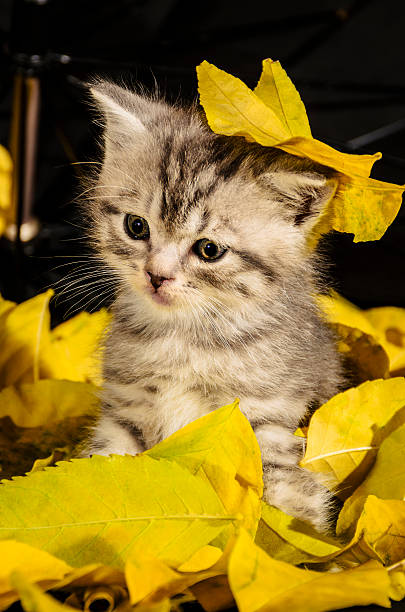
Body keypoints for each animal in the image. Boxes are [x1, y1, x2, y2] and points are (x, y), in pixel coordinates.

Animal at [80, 80, 342, 532]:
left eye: (209, 250)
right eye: (136, 226)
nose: (156, 275)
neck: (185, 339)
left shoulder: (266, 419)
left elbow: (285, 498)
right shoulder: (125, 407)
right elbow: (107, 461)